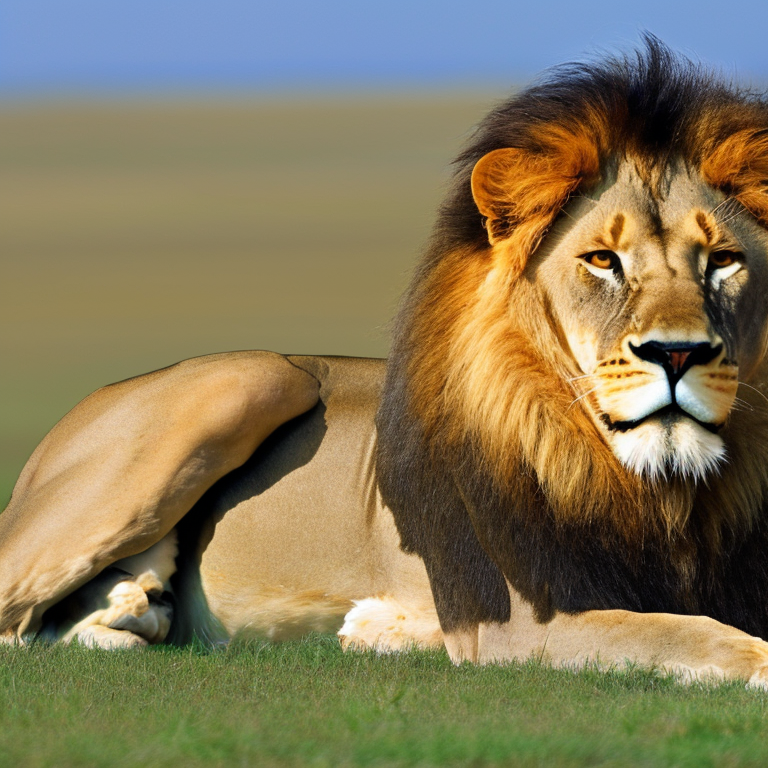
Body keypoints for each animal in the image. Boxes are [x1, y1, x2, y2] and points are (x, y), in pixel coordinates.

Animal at [5, 38, 768, 685]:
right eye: (603, 261)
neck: (663, 493)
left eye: (724, 260)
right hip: (257, 375)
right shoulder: (524, 619)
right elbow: (687, 631)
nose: (678, 352)